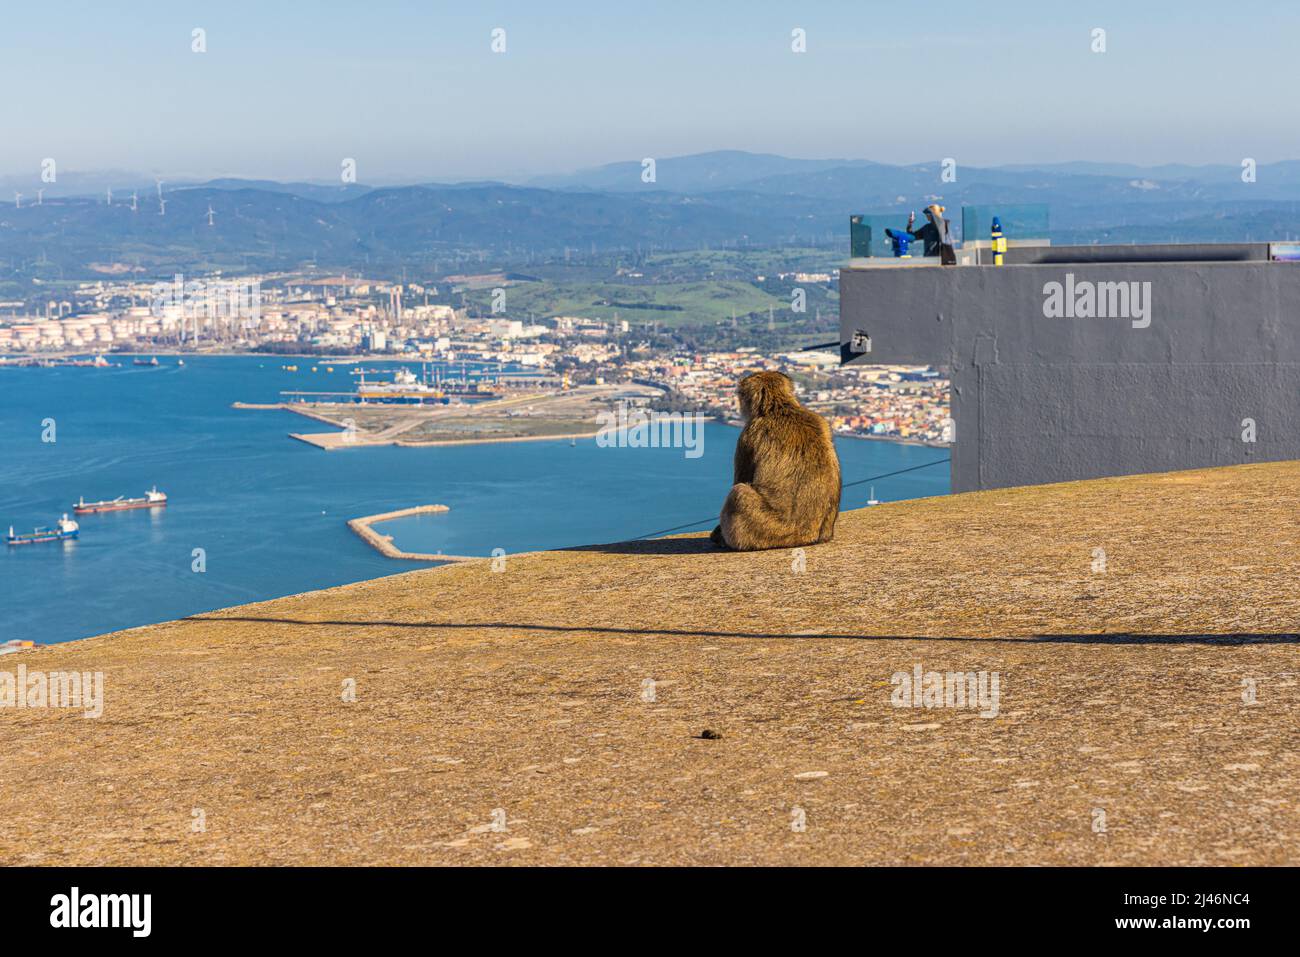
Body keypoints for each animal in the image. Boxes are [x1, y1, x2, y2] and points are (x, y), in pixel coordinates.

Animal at [712, 374, 842, 553]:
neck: (779, 407)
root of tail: (808, 536)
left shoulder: (747, 436)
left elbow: (741, 479)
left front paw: (718, 534)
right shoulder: (821, 420)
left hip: (771, 530)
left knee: (739, 494)